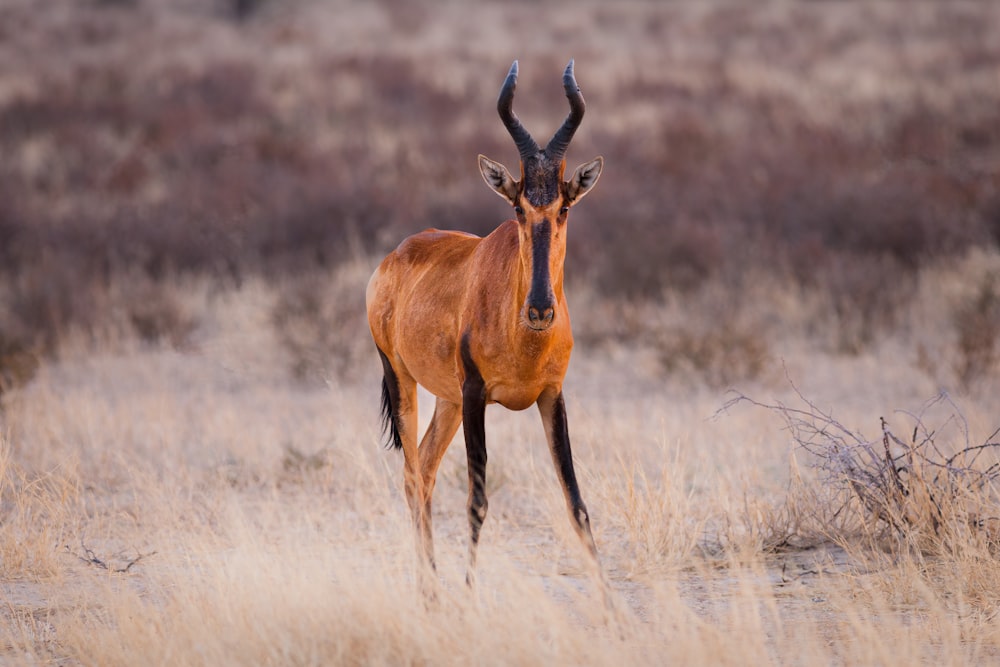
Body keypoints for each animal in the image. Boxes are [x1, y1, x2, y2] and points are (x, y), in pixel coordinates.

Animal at [366, 62, 600, 584]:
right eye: (518, 207)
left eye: (564, 207)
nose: (540, 309)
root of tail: (394, 257)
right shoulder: (476, 394)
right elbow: (477, 501)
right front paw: (470, 593)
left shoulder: (552, 396)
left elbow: (576, 504)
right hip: (403, 378)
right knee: (411, 473)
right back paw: (429, 589)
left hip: (448, 400)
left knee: (426, 470)